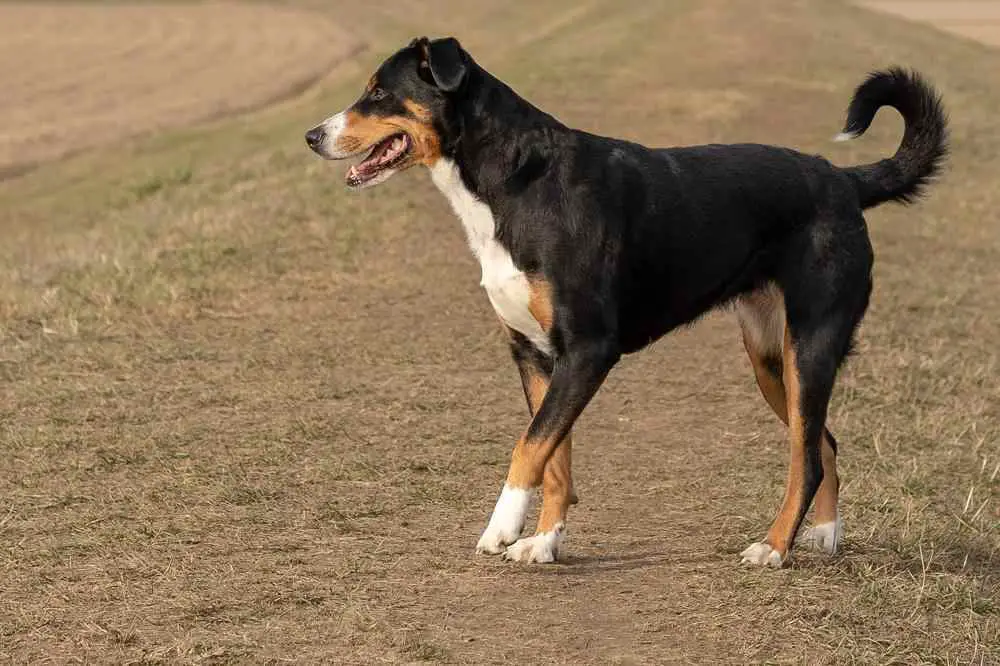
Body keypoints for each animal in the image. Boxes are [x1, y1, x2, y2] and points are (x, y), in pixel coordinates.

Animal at [302, 37, 944, 564]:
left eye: (379, 92)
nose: (311, 135)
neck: (516, 182)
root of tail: (843, 180)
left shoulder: (589, 349)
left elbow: (528, 448)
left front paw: (502, 528)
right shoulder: (537, 355)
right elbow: (555, 457)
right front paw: (544, 542)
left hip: (810, 345)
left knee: (805, 456)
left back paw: (774, 547)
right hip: (770, 358)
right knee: (822, 443)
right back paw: (826, 536)